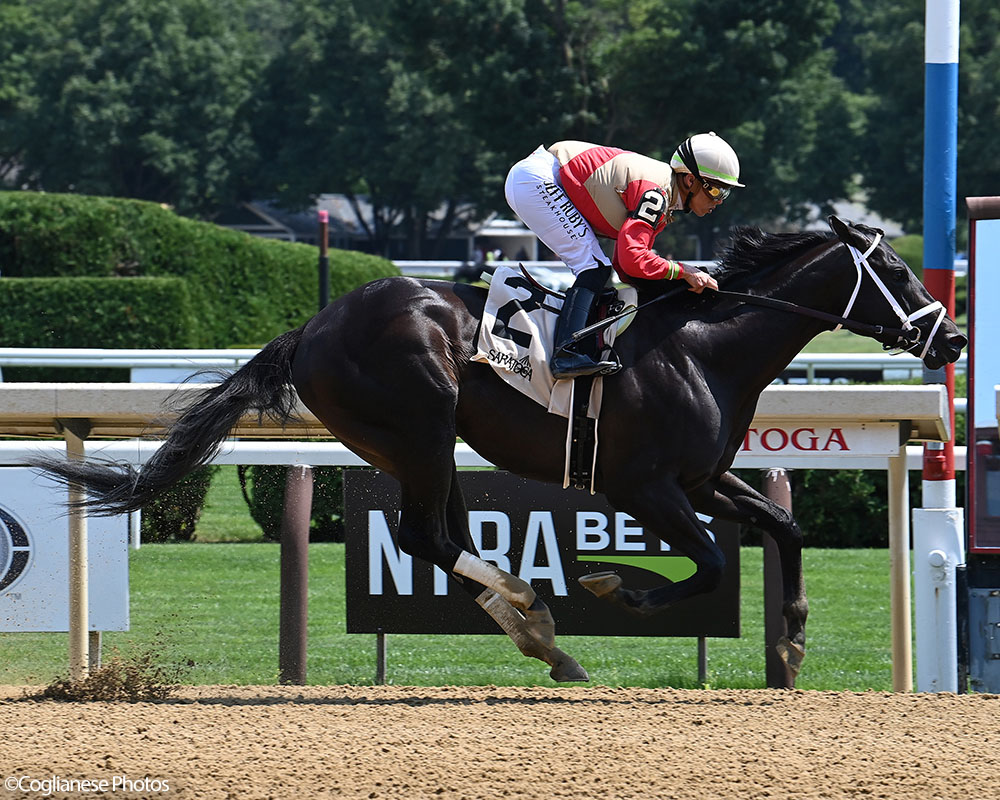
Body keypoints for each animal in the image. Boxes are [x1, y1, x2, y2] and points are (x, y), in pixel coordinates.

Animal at [35, 217, 964, 680]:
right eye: (897, 273)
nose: (952, 338)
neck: (705, 346)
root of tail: (314, 325)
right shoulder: (643, 487)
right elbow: (707, 565)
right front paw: (616, 587)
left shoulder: (702, 479)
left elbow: (785, 528)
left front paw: (794, 639)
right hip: (420, 423)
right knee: (423, 535)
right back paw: (534, 612)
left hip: (422, 442)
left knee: (440, 535)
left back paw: (534, 626)